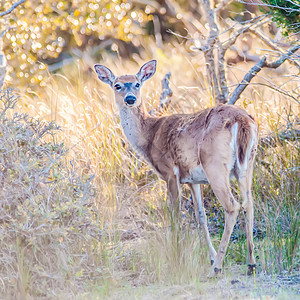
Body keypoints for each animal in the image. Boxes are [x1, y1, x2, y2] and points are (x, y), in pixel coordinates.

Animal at [94, 59, 258, 278]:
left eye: (137, 84)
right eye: (117, 85)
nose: (130, 98)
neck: (149, 136)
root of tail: (242, 121)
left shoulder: (170, 172)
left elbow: (174, 214)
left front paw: (177, 256)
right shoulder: (193, 180)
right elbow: (200, 216)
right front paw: (210, 256)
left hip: (214, 164)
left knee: (232, 206)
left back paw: (216, 269)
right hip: (246, 165)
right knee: (249, 203)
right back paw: (250, 264)